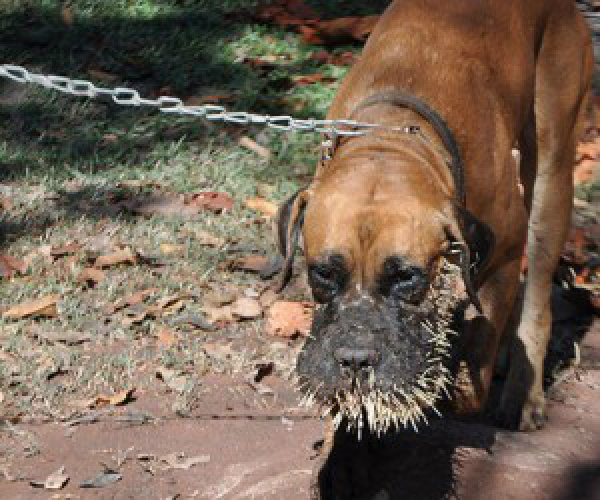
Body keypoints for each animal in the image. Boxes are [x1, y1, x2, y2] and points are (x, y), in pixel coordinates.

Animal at [278, 0, 592, 446]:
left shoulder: (503, 252)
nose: (356, 358)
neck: (391, 138)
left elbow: (474, 363)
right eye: (322, 274)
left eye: (407, 278)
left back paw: (522, 389)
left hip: (551, 177)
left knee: (536, 297)